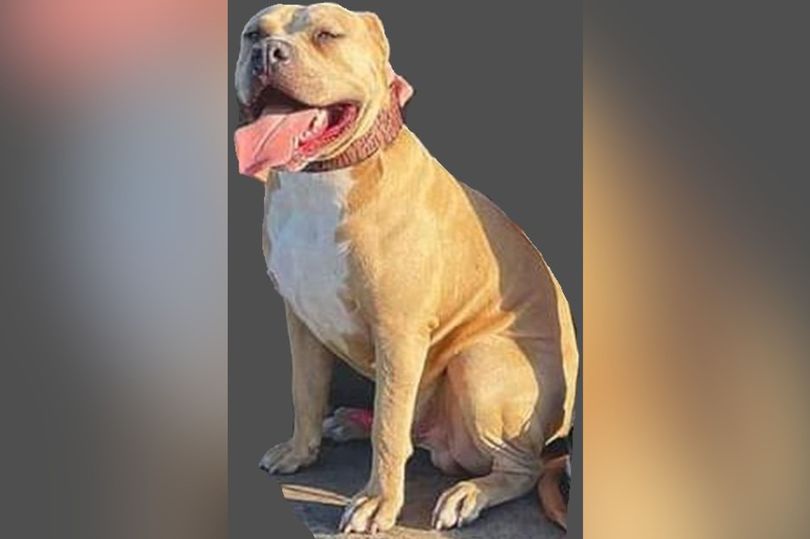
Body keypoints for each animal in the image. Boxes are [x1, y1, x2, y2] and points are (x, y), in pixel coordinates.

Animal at [230, 3, 576, 536]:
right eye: (252, 34)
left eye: (327, 35)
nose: (267, 53)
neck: (323, 177)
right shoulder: (302, 319)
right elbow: (306, 391)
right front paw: (300, 451)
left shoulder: (398, 331)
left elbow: (390, 430)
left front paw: (378, 502)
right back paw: (353, 422)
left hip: (479, 361)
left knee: (521, 467)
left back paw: (469, 494)